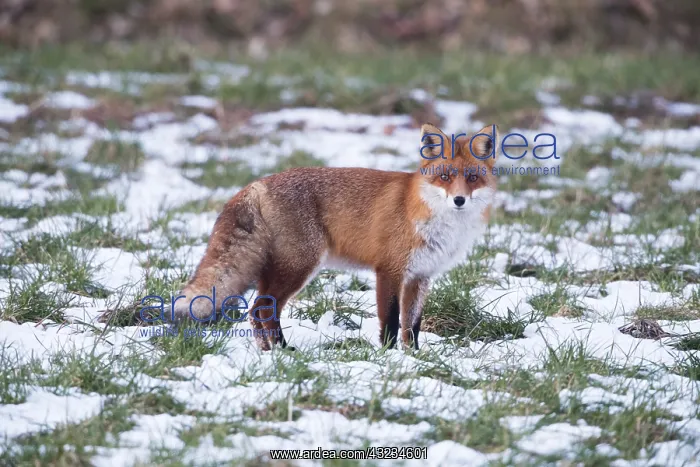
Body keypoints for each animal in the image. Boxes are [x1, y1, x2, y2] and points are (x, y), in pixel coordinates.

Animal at [171, 123, 499, 351]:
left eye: (472, 178)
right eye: (445, 177)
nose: (459, 200)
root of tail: (257, 183)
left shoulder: (421, 276)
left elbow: (412, 325)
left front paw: (414, 356)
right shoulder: (389, 270)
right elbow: (391, 321)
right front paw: (390, 356)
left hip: (279, 269)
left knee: (256, 310)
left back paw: (268, 351)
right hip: (299, 266)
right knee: (265, 308)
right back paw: (283, 351)